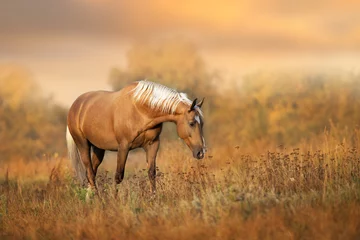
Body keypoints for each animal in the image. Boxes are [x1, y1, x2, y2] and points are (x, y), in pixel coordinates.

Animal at [65, 79, 205, 194]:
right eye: (192, 123)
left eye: (202, 123)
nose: (201, 152)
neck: (140, 110)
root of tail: (76, 106)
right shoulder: (123, 147)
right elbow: (118, 176)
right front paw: (115, 200)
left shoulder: (153, 145)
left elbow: (152, 174)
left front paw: (153, 198)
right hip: (82, 145)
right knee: (90, 173)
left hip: (98, 148)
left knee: (92, 172)